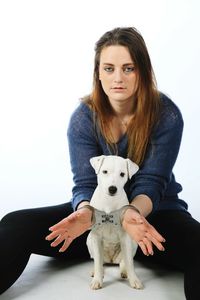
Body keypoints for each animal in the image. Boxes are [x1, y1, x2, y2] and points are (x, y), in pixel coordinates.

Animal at [86, 156, 143, 290]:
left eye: (122, 174)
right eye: (105, 172)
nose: (112, 189)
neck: (109, 201)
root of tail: (111, 259)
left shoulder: (125, 237)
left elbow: (130, 263)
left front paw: (134, 279)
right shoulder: (96, 237)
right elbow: (97, 262)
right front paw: (97, 280)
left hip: (132, 243)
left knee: (124, 261)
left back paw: (124, 271)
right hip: (89, 240)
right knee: (99, 261)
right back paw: (96, 271)